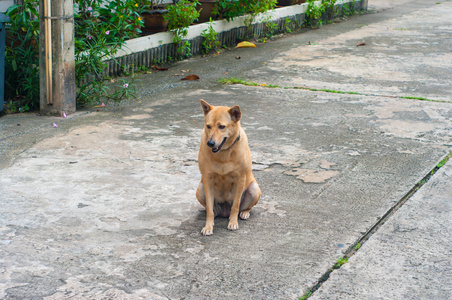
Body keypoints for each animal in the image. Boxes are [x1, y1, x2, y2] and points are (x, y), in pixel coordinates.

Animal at [195, 99, 262, 236]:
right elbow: (209, 208)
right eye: (208, 126)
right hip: (200, 189)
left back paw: (244, 213)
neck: (223, 153)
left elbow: (235, 206)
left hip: (254, 189)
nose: (210, 143)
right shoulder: (207, 180)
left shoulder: (240, 179)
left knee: (244, 207)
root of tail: (224, 212)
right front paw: (208, 226)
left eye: (221, 126)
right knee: (211, 209)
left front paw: (233, 223)